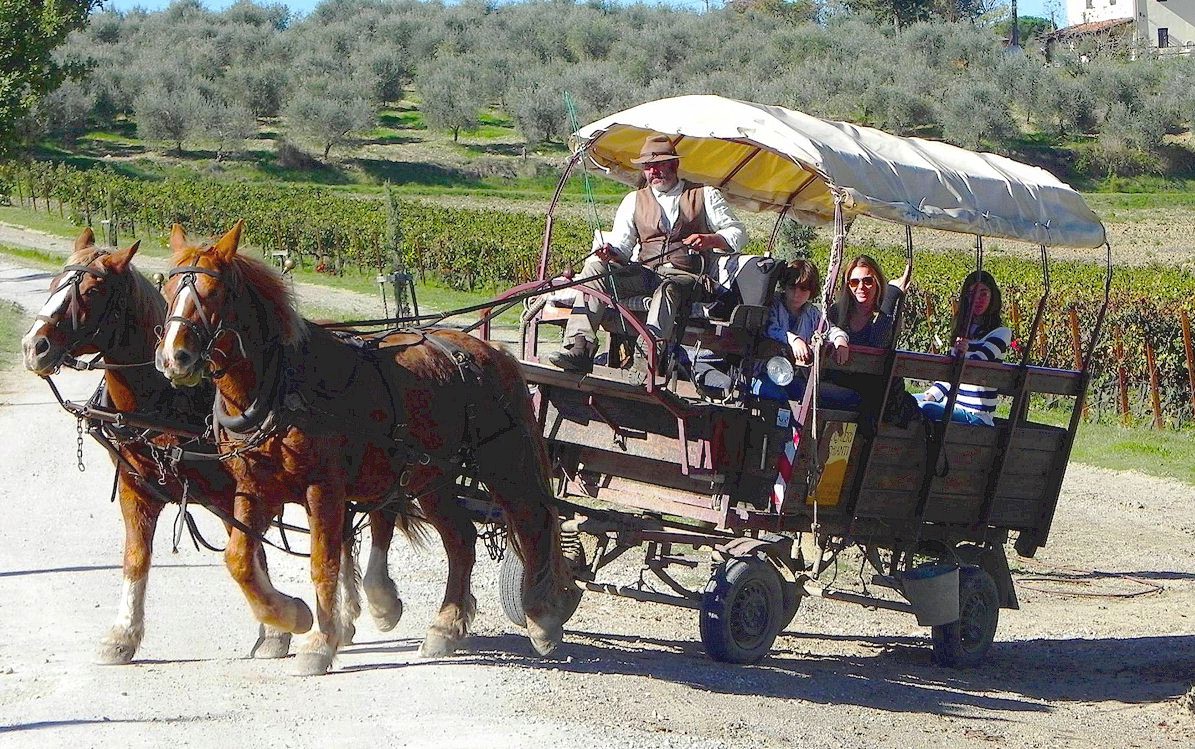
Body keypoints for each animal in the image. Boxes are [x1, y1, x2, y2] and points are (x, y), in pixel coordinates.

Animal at [19, 231, 411, 664]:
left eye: (91, 291)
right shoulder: (136, 488)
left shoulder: (233, 492)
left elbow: (250, 556)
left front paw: (278, 628)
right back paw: (345, 619)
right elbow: (136, 558)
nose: (33, 346)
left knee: (382, 512)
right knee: (345, 531)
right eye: (54, 284)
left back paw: (379, 603)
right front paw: (122, 635)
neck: (165, 400)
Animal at [151, 220, 571, 673]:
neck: (279, 385)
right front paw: (290, 617)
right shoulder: (254, 488)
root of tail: (490, 350)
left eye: (213, 293)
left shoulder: (323, 489)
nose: (174, 357)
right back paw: (445, 628)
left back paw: (542, 619)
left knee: (532, 523)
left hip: (504, 463)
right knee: (461, 539)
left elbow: (324, 562)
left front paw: (319, 643)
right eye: (168, 288)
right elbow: (240, 558)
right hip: (432, 478)